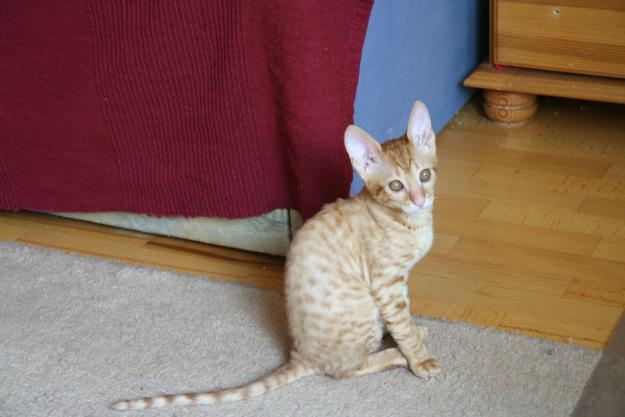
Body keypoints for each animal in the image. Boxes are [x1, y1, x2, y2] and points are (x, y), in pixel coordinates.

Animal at [111, 100, 438, 410]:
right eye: (395, 186)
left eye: (425, 175)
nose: (420, 200)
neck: (411, 222)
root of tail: (301, 354)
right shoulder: (385, 283)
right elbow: (401, 323)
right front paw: (418, 359)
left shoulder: (398, 282)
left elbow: (403, 318)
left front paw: (412, 333)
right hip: (363, 309)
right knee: (343, 370)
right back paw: (395, 355)